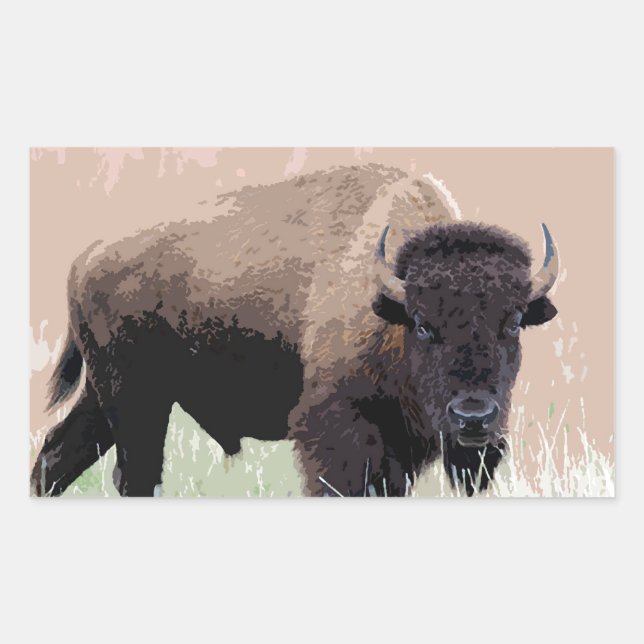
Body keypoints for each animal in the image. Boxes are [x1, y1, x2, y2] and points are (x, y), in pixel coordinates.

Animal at [30, 164, 558, 497]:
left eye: (514, 322)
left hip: (107, 399)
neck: (388, 299)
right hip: (136, 401)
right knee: (134, 475)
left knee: (55, 458)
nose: (473, 416)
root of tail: (86, 256)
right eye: (424, 326)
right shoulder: (340, 434)